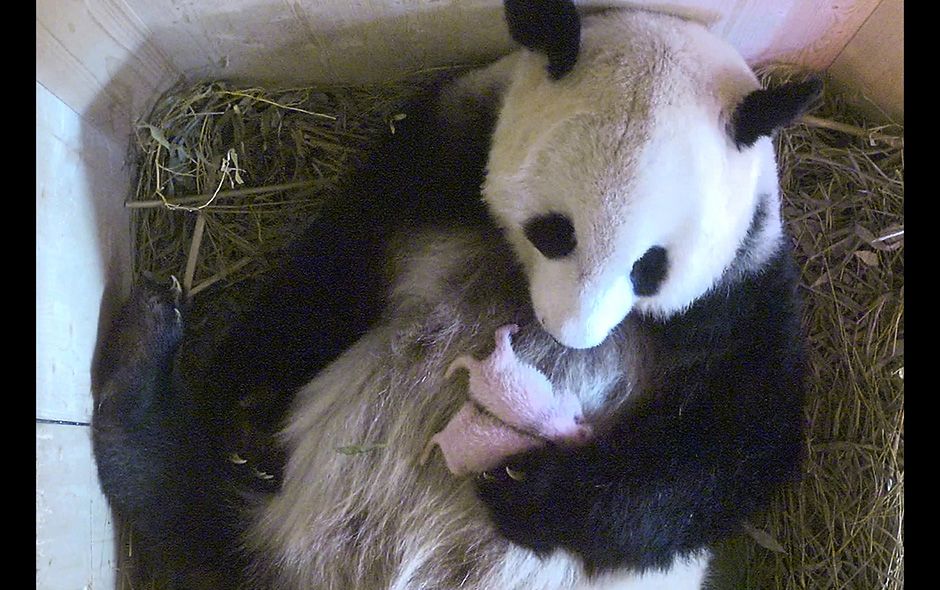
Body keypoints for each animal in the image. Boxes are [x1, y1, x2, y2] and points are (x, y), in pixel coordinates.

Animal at [91, 1, 820, 589]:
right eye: (554, 232)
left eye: (650, 267)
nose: (568, 334)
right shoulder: (442, 153)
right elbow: (336, 266)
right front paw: (247, 403)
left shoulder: (744, 292)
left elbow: (729, 444)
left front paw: (524, 489)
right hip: (274, 518)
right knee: (187, 502)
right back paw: (144, 356)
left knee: (190, 512)